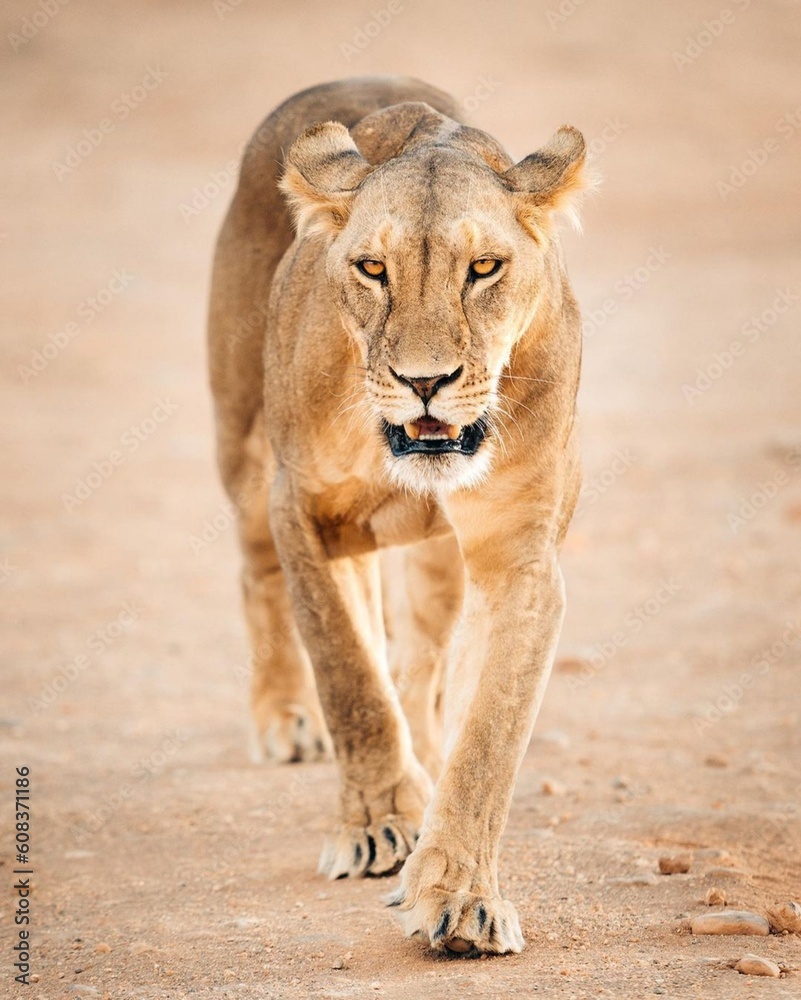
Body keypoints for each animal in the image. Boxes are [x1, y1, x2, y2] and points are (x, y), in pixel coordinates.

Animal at [208, 75, 587, 955]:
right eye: (372, 268)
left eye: (483, 268)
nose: (424, 382)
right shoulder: (303, 513)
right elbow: (348, 675)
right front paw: (377, 825)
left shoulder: (519, 554)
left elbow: (487, 735)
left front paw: (459, 895)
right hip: (243, 451)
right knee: (260, 583)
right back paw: (286, 718)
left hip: (438, 558)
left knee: (420, 667)